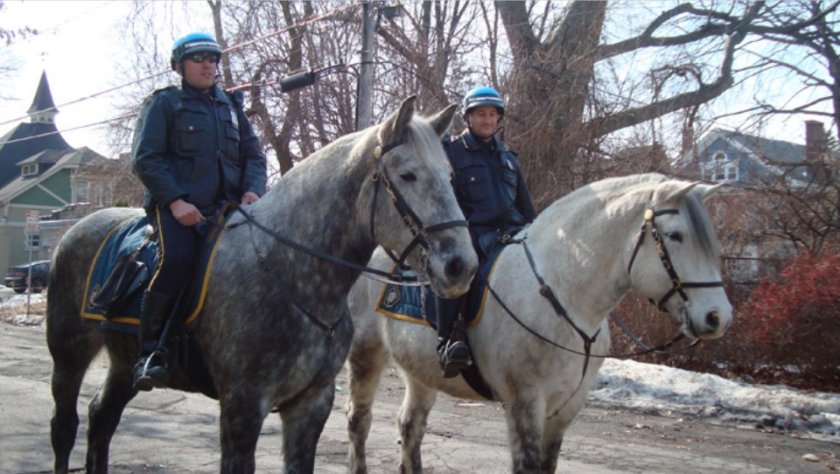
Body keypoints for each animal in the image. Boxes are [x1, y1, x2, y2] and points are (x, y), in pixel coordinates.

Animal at [47, 97, 480, 474]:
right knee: (65, 427)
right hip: (68, 355)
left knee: (101, 418)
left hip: (123, 364)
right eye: (407, 174)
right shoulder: (242, 405)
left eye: (451, 176)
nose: (462, 266)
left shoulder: (311, 404)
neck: (290, 274)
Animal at [344, 174, 732, 474]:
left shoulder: (565, 408)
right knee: (358, 421)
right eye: (676, 235)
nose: (718, 317)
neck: (561, 295)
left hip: (422, 373)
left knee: (410, 428)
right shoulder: (525, 403)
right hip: (366, 355)